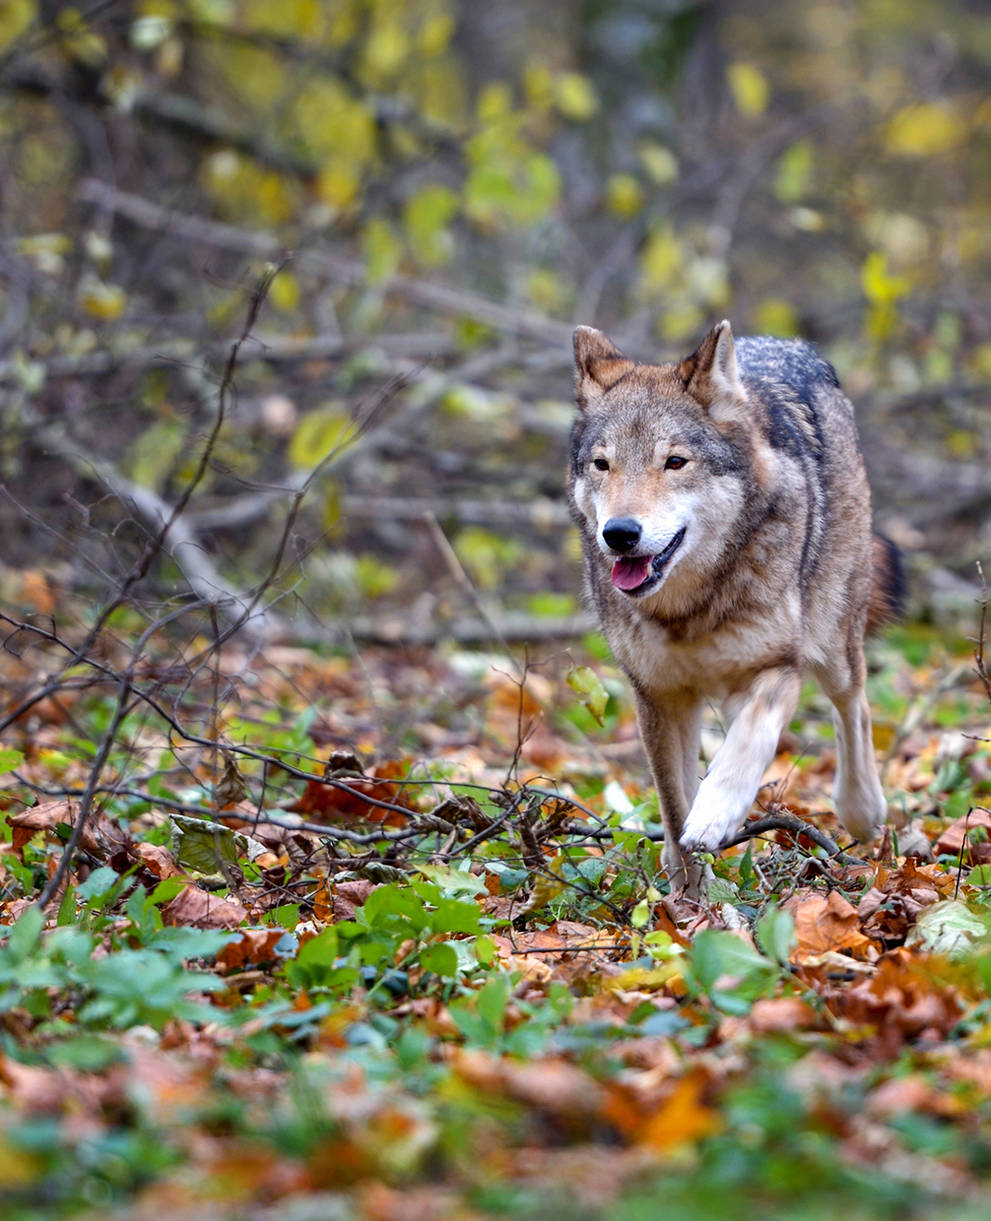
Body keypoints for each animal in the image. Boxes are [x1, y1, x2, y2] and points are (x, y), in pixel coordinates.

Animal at [567, 320, 903, 893]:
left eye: (674, 462)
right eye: (602, 465)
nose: (619, 534)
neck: (689, 611)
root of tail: (789, 345)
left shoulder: (778, 667)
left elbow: (746, 746)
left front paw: (715, 815)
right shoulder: (660, 695)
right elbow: (673, 802)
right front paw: (688, 895)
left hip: (832, 642)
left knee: (852, 707)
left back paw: (861, 811)